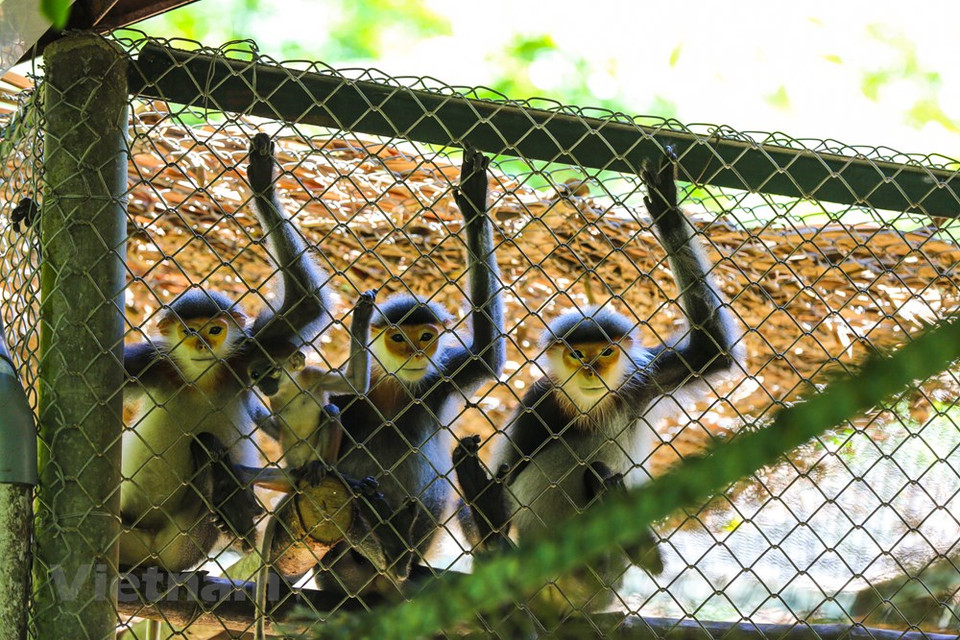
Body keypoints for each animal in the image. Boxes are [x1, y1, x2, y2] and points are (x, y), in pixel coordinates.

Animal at [118, 133, 331, 571]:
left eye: (215, 331)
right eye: (189, 332)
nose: (201, 344)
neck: (199, 379)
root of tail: (148, 556)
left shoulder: (246, 354)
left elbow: (307, 304)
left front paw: (262, 180)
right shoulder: (148, 365)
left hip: (182, 546)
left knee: (204, 447)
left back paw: (231, 509)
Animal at [313, 146, 505, 596]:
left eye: (427, 336)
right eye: (399, 338)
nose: (417, 351)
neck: (395, 388)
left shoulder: (438, 379)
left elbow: (487, 354)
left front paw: (474, 207)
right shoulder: (348, 393)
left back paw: (400, 555)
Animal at [454, 150, 744, 619]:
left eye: (604, 352)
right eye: (577, 354)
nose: (590, 369)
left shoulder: (641, 381)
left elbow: (712, 350)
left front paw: (666, 208)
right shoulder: (539, 402)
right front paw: (476, 211)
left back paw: (640, 546)